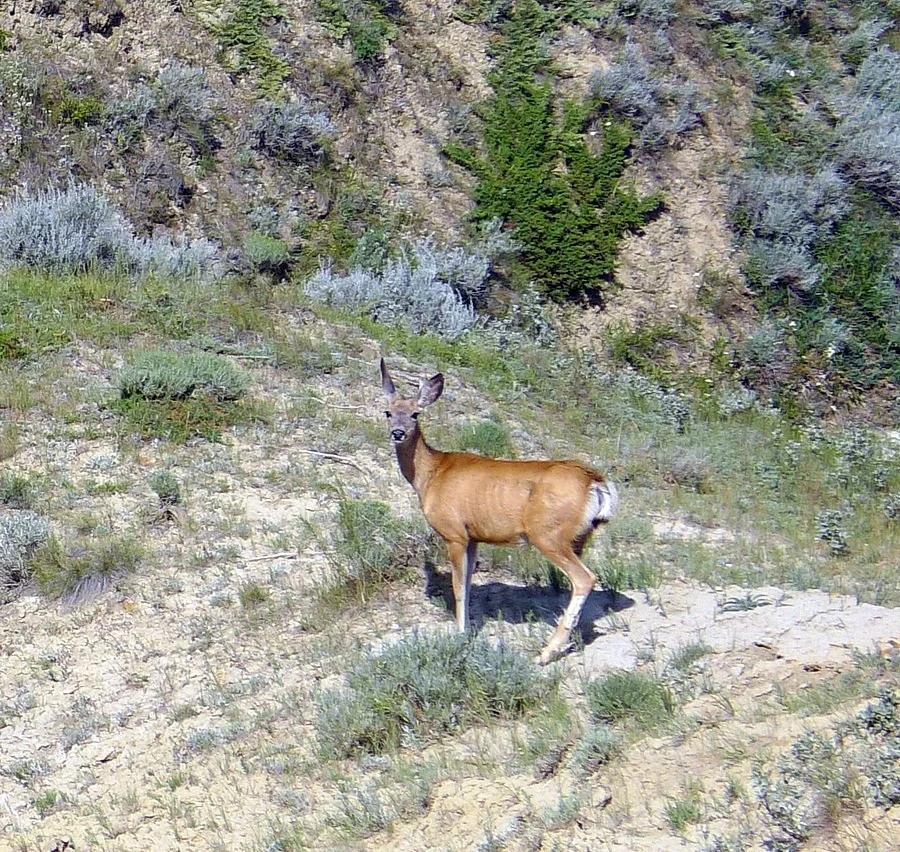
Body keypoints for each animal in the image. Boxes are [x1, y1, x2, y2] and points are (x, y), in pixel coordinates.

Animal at [380, 359, 618, 665]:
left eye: (415, 414)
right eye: (388, 412)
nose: (397, 433)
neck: (431, 474)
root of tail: (596, 482)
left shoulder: (454, 533)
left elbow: (458, 588)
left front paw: (460, 636)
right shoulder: (473, 537)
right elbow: (468, 586)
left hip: (548, 534)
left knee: (584, 578)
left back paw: (545, 653)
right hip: (579, 538)